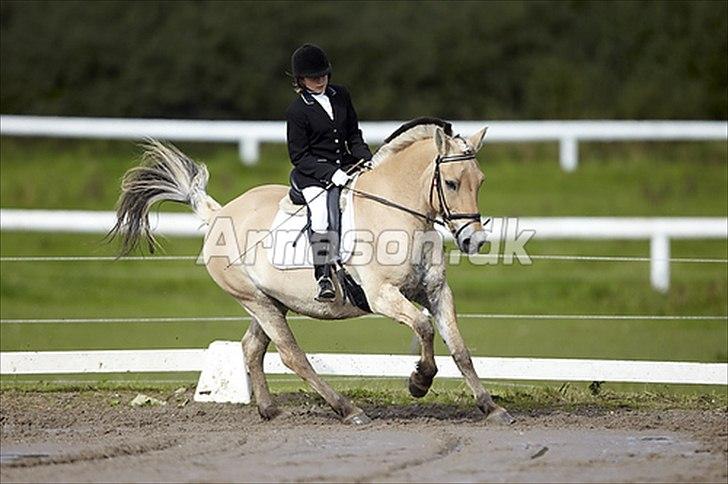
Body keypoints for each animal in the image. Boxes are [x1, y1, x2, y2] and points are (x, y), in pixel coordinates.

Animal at [111, 119, 516, 426]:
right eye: (450, 183)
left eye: (480, 181)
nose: (475, 241)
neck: (397, 214)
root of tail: (218, 213)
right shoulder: (383, 297)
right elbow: (424, 327)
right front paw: (419, 382)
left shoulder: (436, 292)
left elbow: (460, 350)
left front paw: (491, 407)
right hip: (256, 301)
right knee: (292, 356)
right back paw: (348, 410)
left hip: (271, 302)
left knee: (252, 348)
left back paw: (270, 410)